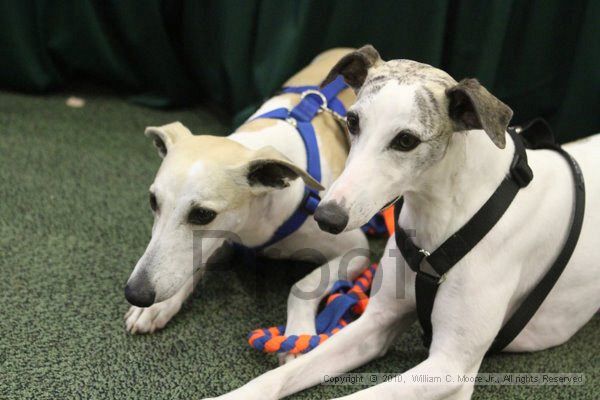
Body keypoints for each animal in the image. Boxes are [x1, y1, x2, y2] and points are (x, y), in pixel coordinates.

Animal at [122, 47, 370, 360]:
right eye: (153, 200)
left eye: (203, 214)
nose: (136, 293)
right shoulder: (221, 240)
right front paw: (158, 307)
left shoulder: (355, 248)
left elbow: (302, 285)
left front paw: (298, 335)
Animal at [207, 45, 600, 398]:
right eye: (352, 121)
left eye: (406, 140)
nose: (327, 217)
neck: (443, 223)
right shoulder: (375, 325)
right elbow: (279, 377)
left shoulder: (450, 366)